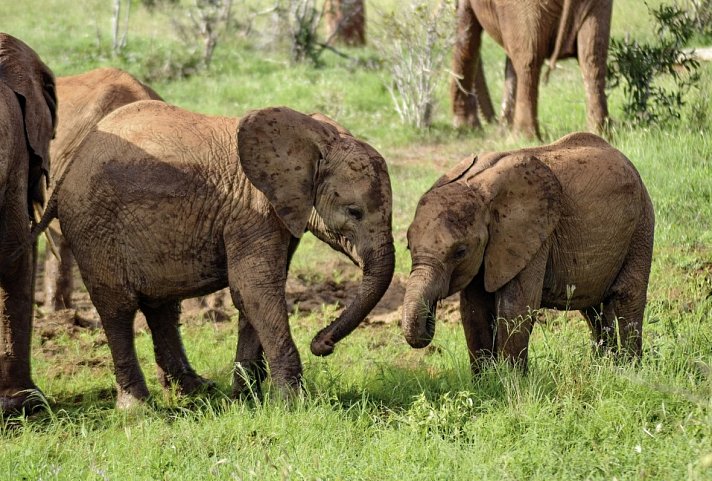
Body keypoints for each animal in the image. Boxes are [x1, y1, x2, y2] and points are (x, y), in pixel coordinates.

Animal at [33, 102, 394, 408]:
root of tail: (70, 165)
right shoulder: (252, 213)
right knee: (118, 308)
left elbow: (253, 296)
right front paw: (293, 405)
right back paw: (138, 408)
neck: (314, 134)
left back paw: (196, 391)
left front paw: (244, 401)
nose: (322, 344)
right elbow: (255, 290)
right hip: (93, 227)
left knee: (161, 307)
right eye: (354, 212)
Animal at [400, 133, 652, 374]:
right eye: (409, 247)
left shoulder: (531, 238)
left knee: (626, 297)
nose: (430, 316)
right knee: (592, 308)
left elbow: (516, 307)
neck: (477, 187)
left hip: (641, 225)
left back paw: (629, 370)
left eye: (460, 251)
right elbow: (473, 310)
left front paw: (511, 381)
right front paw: (484, 383)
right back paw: (605, 366)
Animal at [450, 0, 612, 139]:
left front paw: (466, 128)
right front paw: (501, 130)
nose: (493, 122)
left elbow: (465, 35)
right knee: (593, 57)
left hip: (524, 7)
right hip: (597, 6)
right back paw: (600, 133)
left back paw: (521, 137)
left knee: (528, 62)